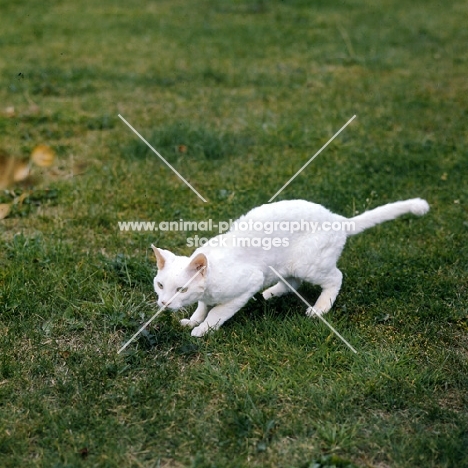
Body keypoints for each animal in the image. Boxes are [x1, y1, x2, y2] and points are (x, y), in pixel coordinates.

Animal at [152, 197, 430, 336]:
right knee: (292, 281)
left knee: (336, 278)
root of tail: (338, 220)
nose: (163, 303)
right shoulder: (207, 295)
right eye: (160, 285)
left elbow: (217, 312)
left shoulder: (247, 284)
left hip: (308, 264)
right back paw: (271, 293)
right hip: (287, 266)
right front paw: (192, 321)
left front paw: (202, 330)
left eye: (181, 290)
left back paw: (319, 309)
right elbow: (202, 307)